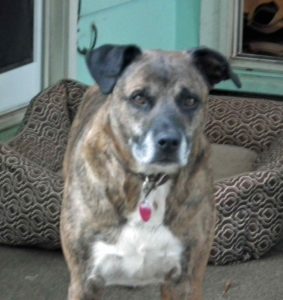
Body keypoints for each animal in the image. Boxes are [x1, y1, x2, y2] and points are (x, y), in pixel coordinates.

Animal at [60, 43, 242, 298]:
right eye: (139, 98)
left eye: (190, 100)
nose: (169, 142)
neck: (149, 181)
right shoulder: (85, 281)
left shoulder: (186, 280)